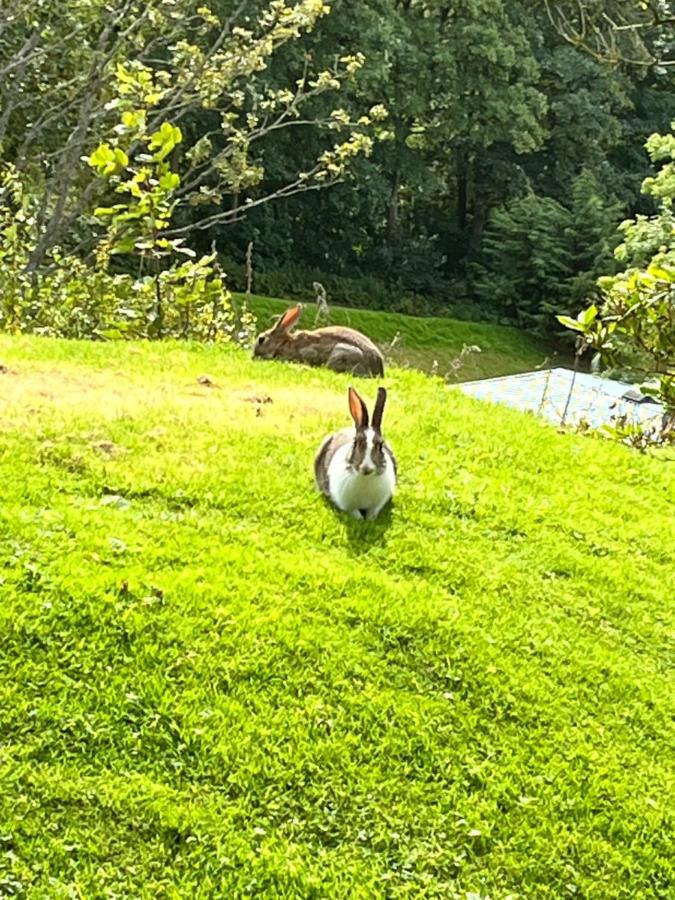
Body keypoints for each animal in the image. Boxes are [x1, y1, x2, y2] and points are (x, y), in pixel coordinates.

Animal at [254, 304, 386, 378]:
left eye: (261, 339)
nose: (253, 356)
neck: (281, 344)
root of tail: (379, 370)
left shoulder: (308, 352)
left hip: (343, 352)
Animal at [316, 386, 398, 520]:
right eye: (356, 442)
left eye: (381, 445)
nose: (367, 469)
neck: (365, 478)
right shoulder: (347, 504)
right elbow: (355, 513)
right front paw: (361, 520)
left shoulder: (378, 503)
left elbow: (373, 512)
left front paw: (369, 520)